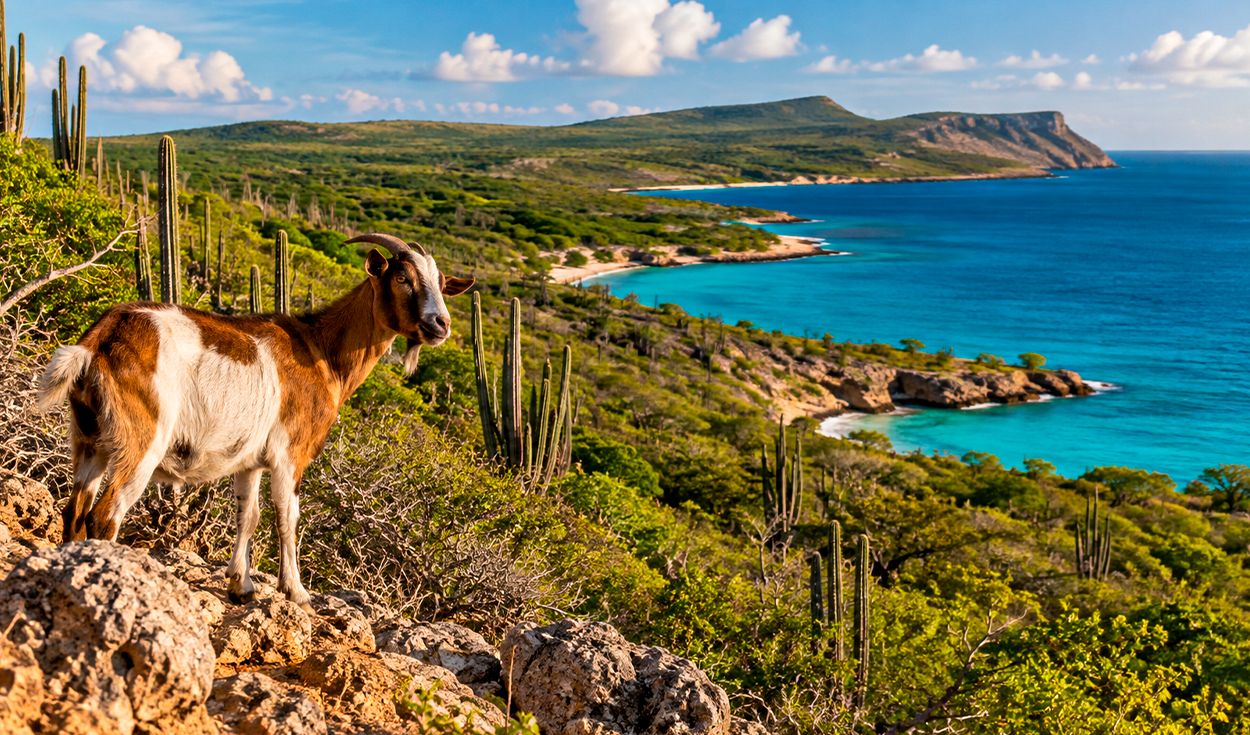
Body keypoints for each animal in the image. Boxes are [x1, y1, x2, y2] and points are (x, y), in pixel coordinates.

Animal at [37, 234, 473, 611]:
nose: (441, 325)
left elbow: (248, 516)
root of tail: (98, 341)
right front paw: (297, 592)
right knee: (104, 515)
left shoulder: (248, 461)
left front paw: (240, 586)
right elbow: (287, 517)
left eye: (440, 284)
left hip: (89, 439)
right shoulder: (290, 454)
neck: (322, 354)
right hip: (142, 440)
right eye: (402, 278)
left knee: (74, 510)